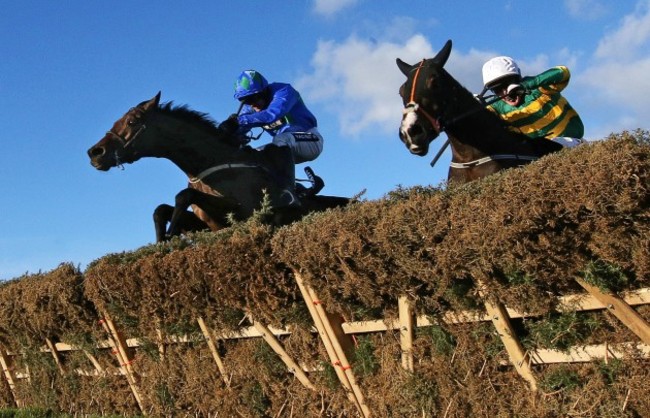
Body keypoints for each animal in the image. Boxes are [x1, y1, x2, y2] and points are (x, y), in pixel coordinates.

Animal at [88, 91, 350, 242]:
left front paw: (170, 234)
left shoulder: (245, 212)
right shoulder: (208, 223)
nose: (95, 152)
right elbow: (162, 209)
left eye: (132, 121)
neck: (210, 165)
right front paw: (162, 239)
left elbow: (184, 195)